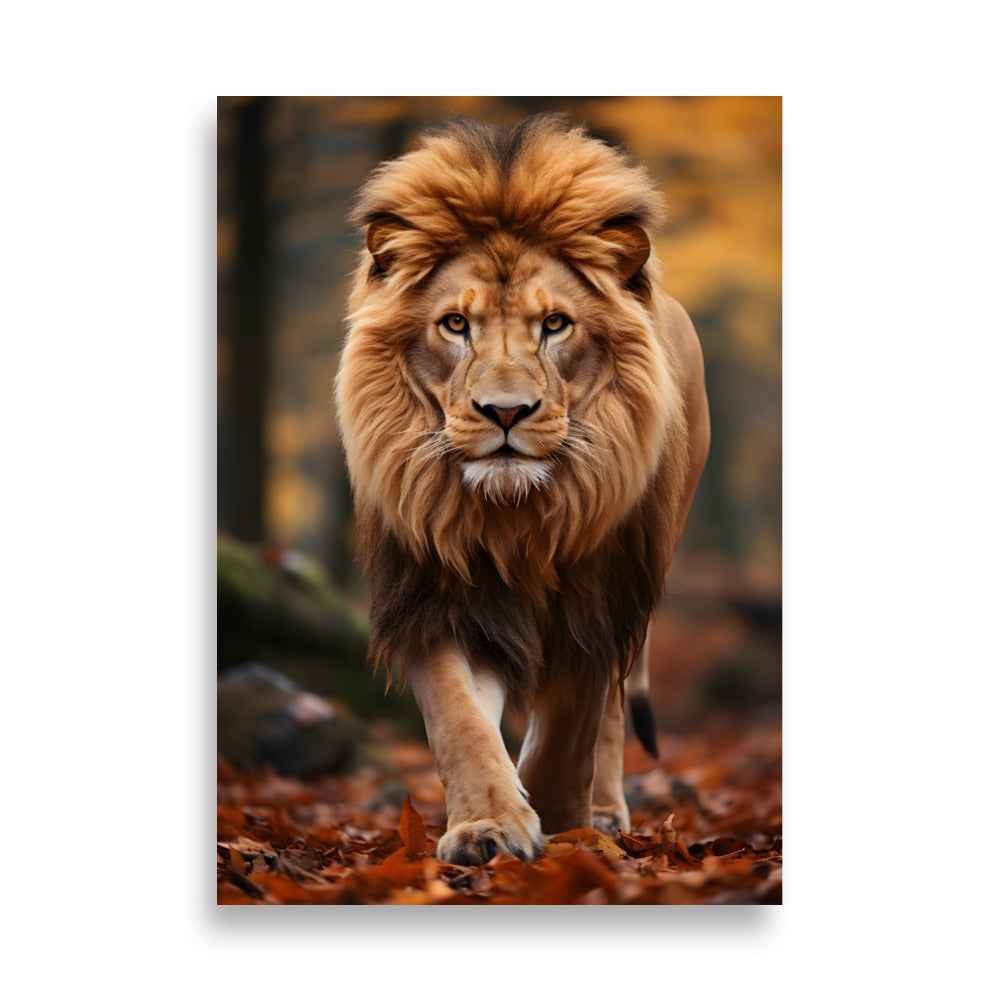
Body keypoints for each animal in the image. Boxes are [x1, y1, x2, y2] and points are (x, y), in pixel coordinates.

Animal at [336, 115, 710, 864]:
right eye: (456, 324)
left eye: (555, 324)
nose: (504, 413)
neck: (513, 518)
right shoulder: (434, 591)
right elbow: (459, 719)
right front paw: (488, 825)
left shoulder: (599, 593)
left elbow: (570, 724)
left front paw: (565, 825)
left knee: (613, 708)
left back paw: (604, 812)